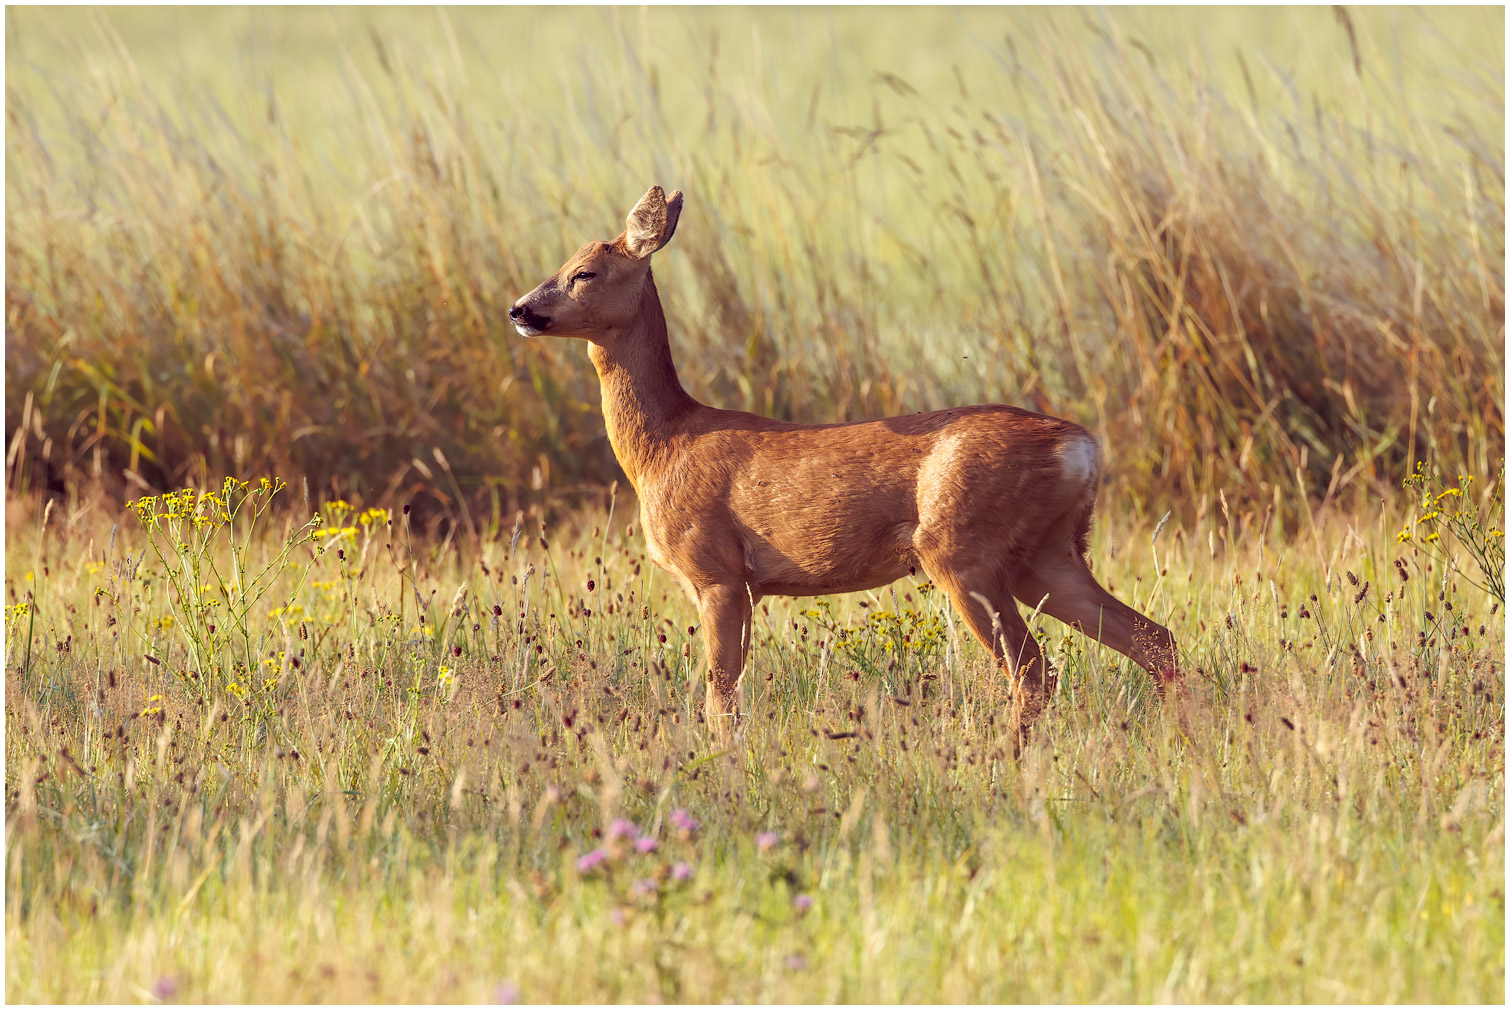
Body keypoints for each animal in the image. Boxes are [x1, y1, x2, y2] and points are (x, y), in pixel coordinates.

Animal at [510, 184, 1177, 745]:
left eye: (583, 272)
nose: (519, 309)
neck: (663, 448)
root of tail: (1082, 447)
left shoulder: (717, 571)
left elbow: (721, 699)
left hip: (964, 550)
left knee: (1035, 669)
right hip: (1047, 554)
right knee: (1154, 640)